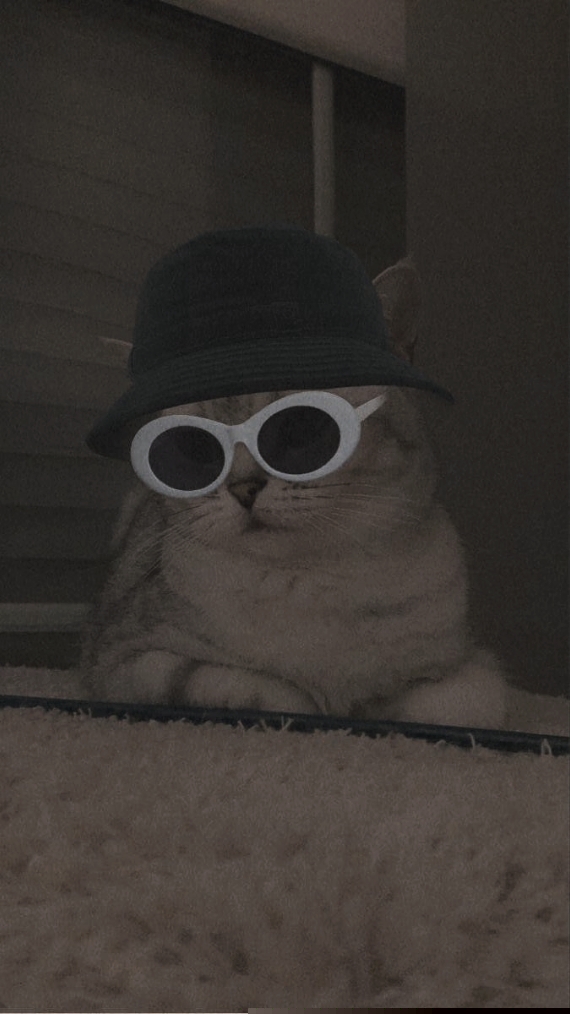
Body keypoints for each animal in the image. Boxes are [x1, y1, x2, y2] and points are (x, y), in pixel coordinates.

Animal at [81, 259, 507, 727]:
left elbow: (458, 700)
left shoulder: (471, 663)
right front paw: (320, 706)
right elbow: (260, 691)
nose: (244, 488)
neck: (309, 583)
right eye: (194, 447)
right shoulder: (126, 660)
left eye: (301, 425)